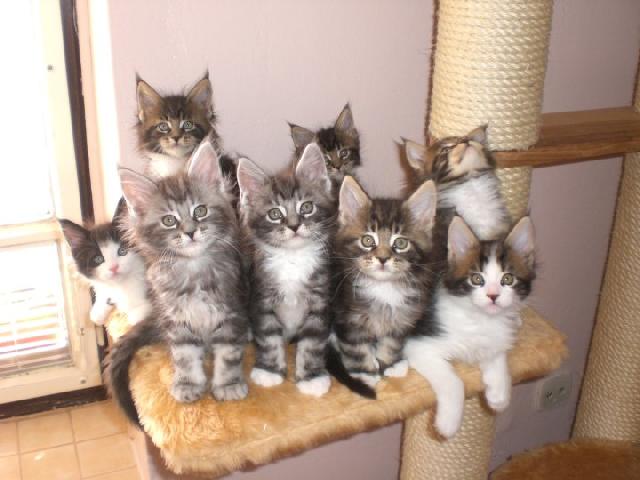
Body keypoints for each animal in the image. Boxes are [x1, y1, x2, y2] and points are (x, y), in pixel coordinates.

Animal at [106, 138, 249, 426]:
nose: (191, 232)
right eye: (169, 220)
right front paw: (188, 384)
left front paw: (227, 385)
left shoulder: (231, 310)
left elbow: (228, 353)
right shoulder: (177, 319)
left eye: (201, 211)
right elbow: (185, 356)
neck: (193, 271)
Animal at [237, 143, 335, 397]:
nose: (294, 226)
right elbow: (269, 338)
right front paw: (269, 371)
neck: (293, 258)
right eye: (275, 214)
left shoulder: (320, 300)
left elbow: (311, 343)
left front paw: (311, 377)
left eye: (307, 207)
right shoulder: (261, 297)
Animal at [329, 176, 437, 397]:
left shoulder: (403, 316)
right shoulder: (348, 318)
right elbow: (355, 349)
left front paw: (390, 364)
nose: (383, 258)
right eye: (367, 240)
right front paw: (365, 373)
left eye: (401, 243)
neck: (384, 287)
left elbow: (392, 342)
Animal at [405, 215, 536, 438]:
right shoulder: (417, 345)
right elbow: (455, 382)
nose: (493, 296)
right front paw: (447, 424)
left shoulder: (496, 337)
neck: (480, 319)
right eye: (477, 279)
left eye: (507, 279)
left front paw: (500, 394)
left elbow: (498, 353)